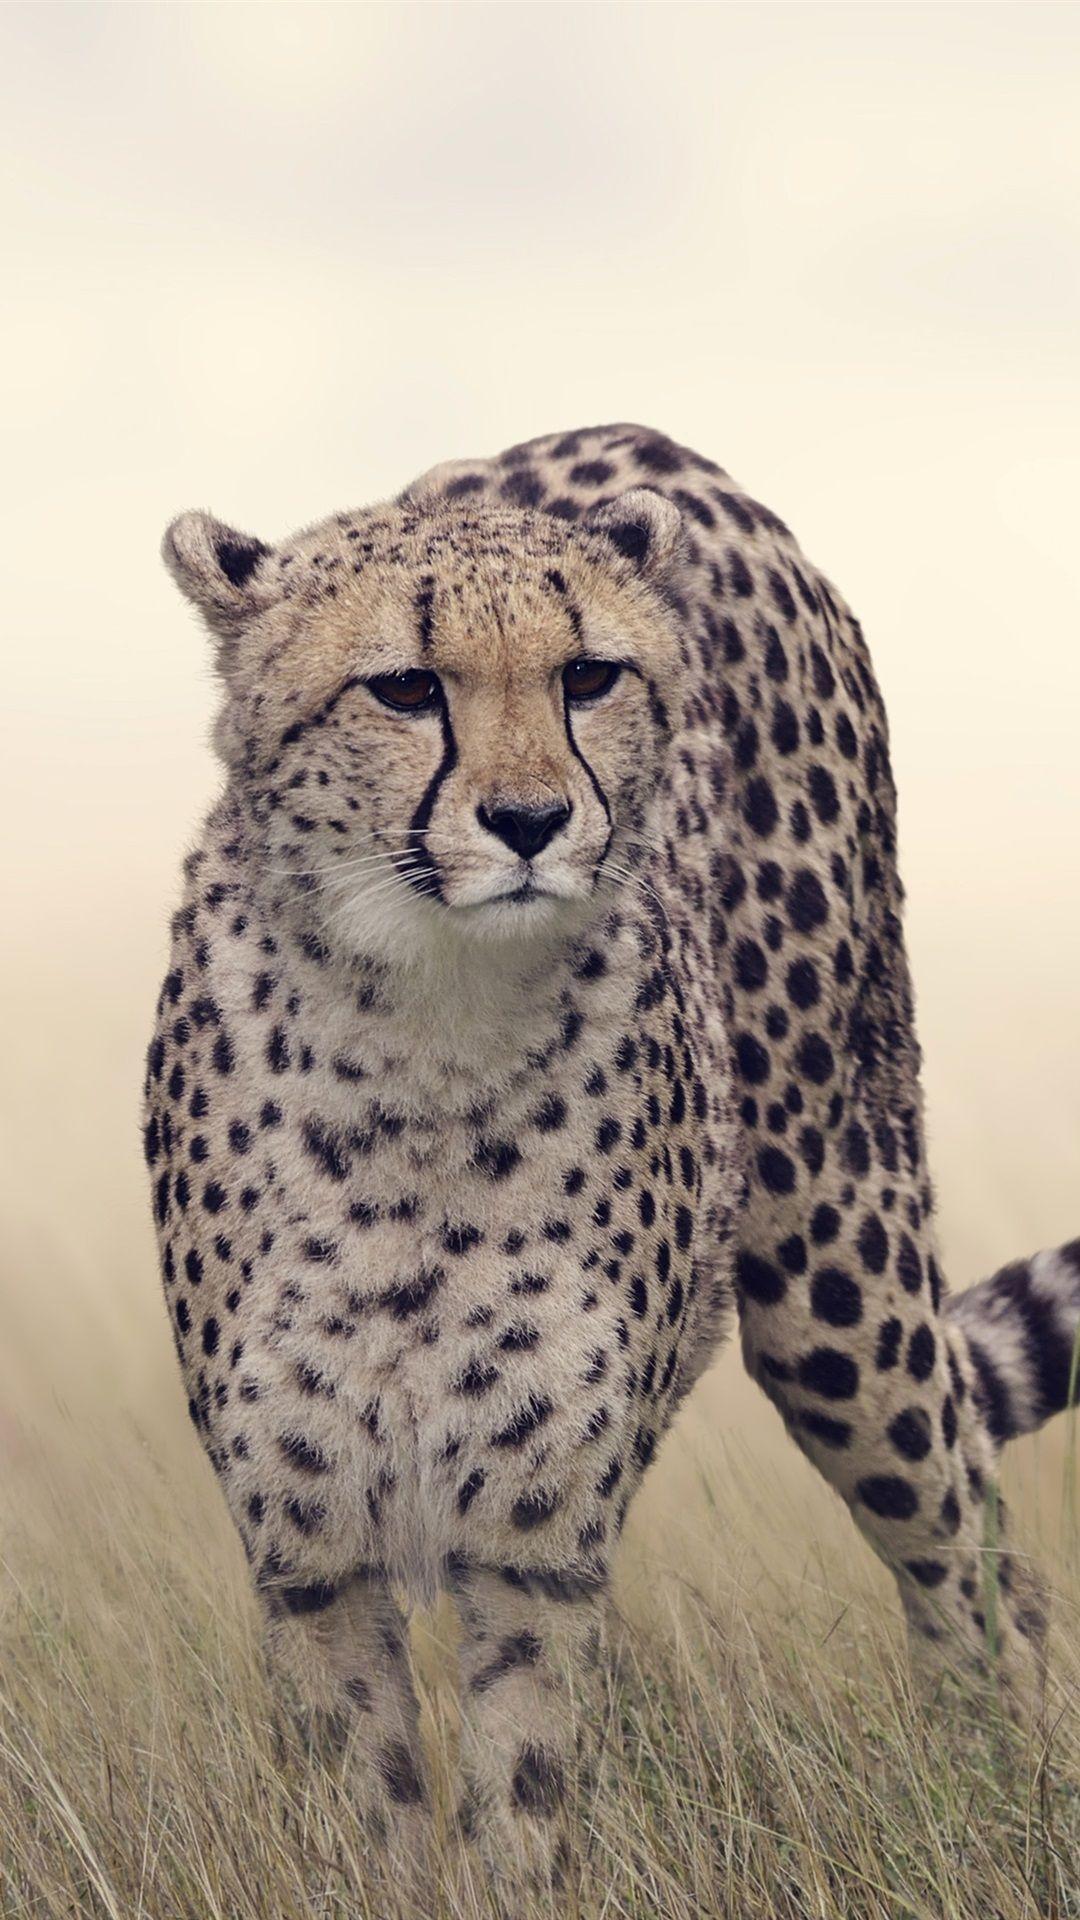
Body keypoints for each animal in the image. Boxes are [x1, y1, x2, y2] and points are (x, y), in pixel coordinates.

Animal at [145, 421, 1080, 1901]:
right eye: (405, 687)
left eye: (588, 675)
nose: (531, 820)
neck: (427, 1038)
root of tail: (652, 443)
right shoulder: (313, 1561)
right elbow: (376, 1827)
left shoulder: (536, 1557)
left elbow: (521, 1818)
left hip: (838, 1277)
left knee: (971, 1554)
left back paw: (992, 1811)